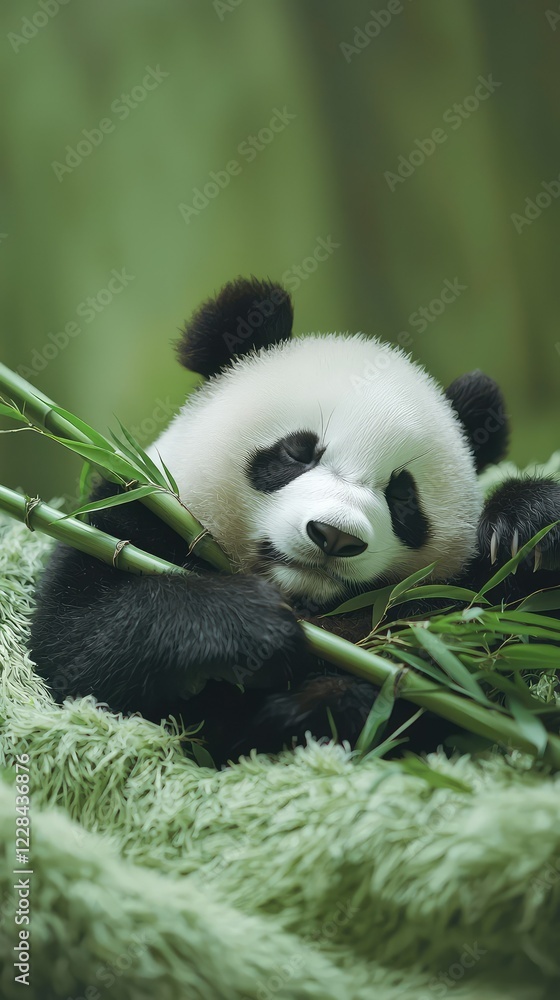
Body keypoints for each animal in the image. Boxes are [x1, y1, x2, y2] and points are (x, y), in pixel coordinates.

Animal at [30, 277, 560, 763]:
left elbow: (490, 654)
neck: (305, 601)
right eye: (298, 452)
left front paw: (528, 524)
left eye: (402, 497)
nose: (335, 537)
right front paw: (248, 627)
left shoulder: (448, 605)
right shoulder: (136, 514)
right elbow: (75, 646)